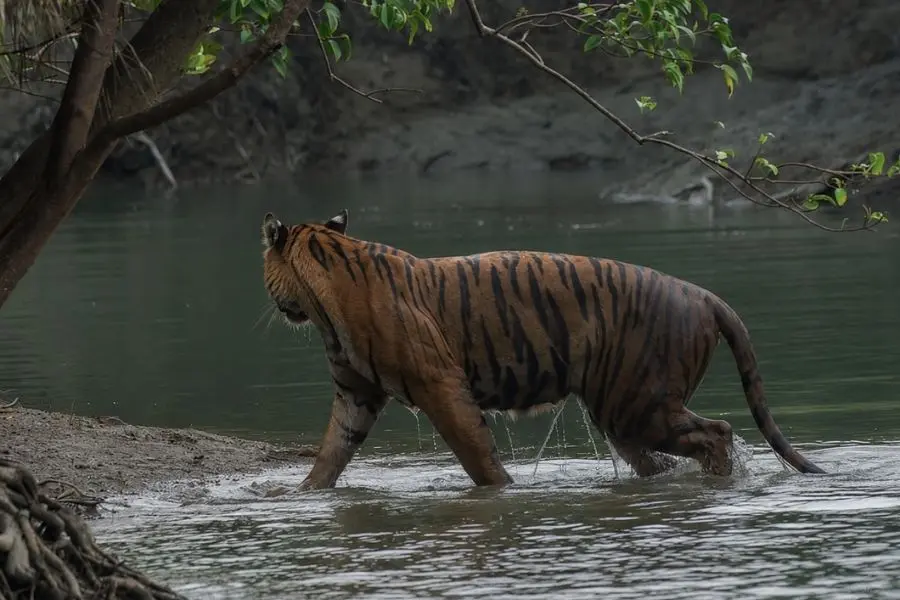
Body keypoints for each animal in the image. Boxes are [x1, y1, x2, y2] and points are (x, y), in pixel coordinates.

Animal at [261, 209, 825, 490]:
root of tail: (703, 294)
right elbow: (330, 454)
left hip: (638, 405)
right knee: (668, 458)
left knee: (718, 433)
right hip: (624, 414)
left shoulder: (440, 385)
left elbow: (478, 457)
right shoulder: (355, 395)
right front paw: (300, 494)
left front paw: (504, 491)